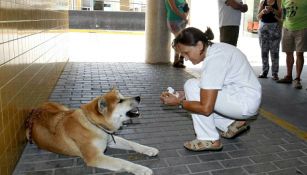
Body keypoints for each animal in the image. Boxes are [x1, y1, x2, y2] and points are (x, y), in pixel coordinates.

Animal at [25, 88, 160, 174]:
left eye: (122, 97)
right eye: (120, 101)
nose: (138, 97)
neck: (94, 125)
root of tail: (35, 110)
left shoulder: (110, 139)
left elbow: (133, 144)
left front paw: (149, 149)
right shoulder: (95, 157)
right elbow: (122, 162)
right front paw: (142, 169)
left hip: (64, 109)